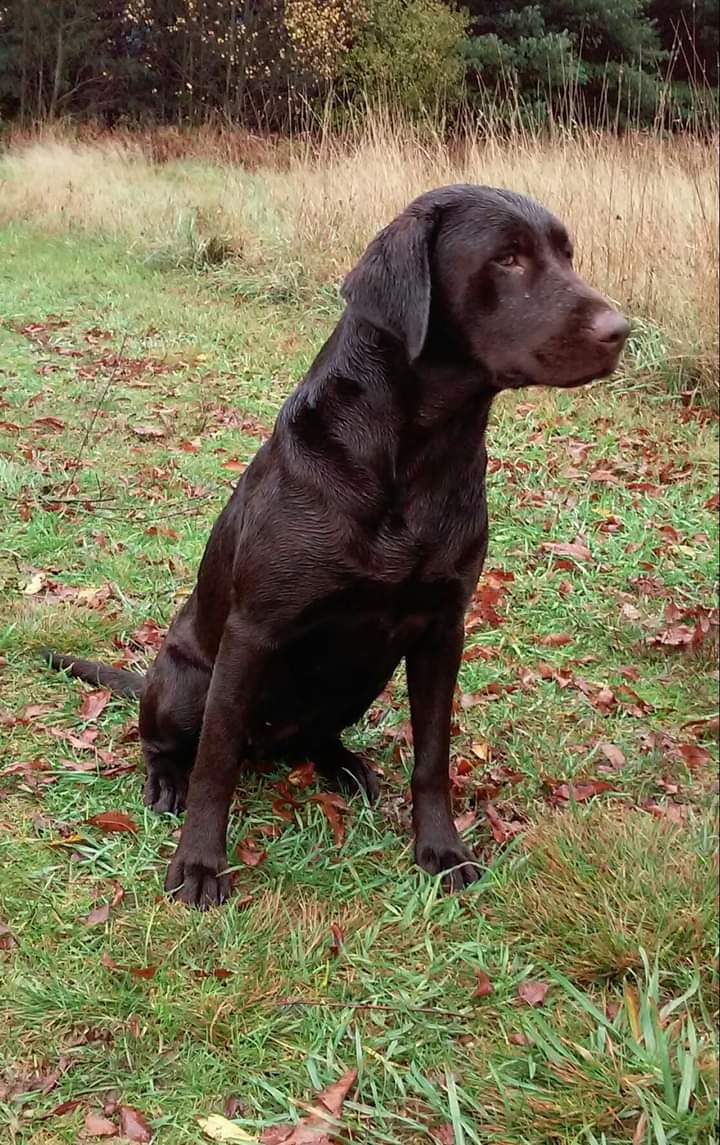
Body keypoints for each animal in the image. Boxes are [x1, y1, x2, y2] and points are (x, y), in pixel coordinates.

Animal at [46, 183, 627, 906]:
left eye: (567, 255)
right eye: (508, 258)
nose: (621, 330)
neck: (417, 457)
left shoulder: (443, 629)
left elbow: (433, 757)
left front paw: (441, 849)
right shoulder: (252, 632)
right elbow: (215, 764)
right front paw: (200, 864)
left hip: (364, 675)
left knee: (315, 734)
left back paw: (345, 765)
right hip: (188, 679)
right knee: (173, 743)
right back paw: (166, 780)